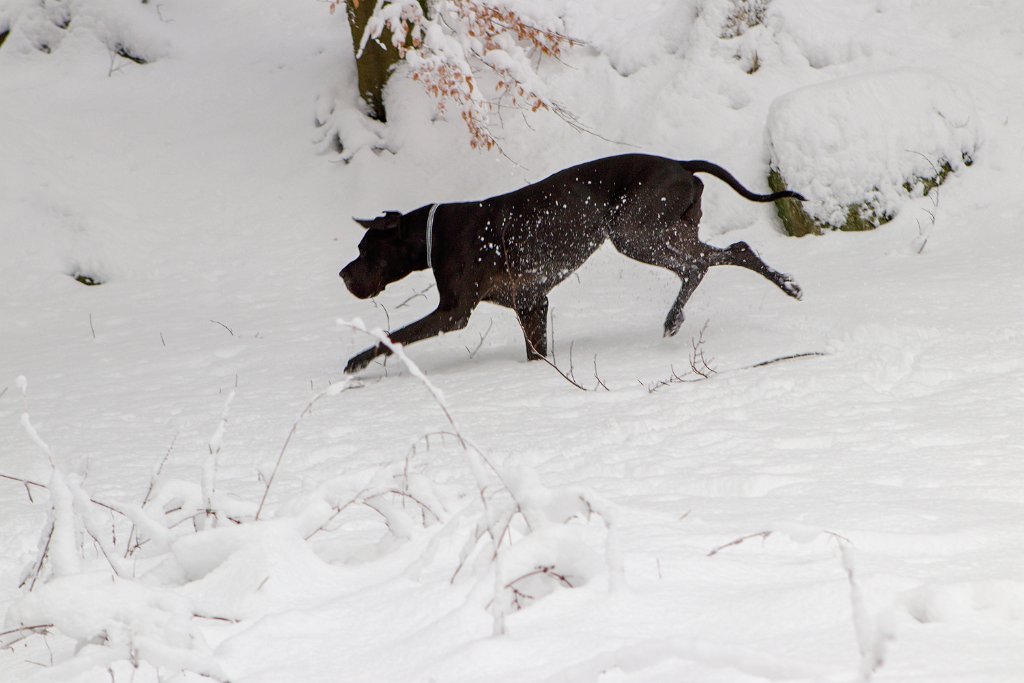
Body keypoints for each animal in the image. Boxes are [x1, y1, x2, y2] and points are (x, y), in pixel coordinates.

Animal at [339, 153, 802, 374]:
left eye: (364, 250)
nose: (343, 274)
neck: (433, 233)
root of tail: (681, 163)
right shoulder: (531, 303)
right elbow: (537, 352)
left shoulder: (453, 313)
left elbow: (392, 336)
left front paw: (358, 361)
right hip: (666, 231)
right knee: (711, 260)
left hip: (634, 232)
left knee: (720, 256)